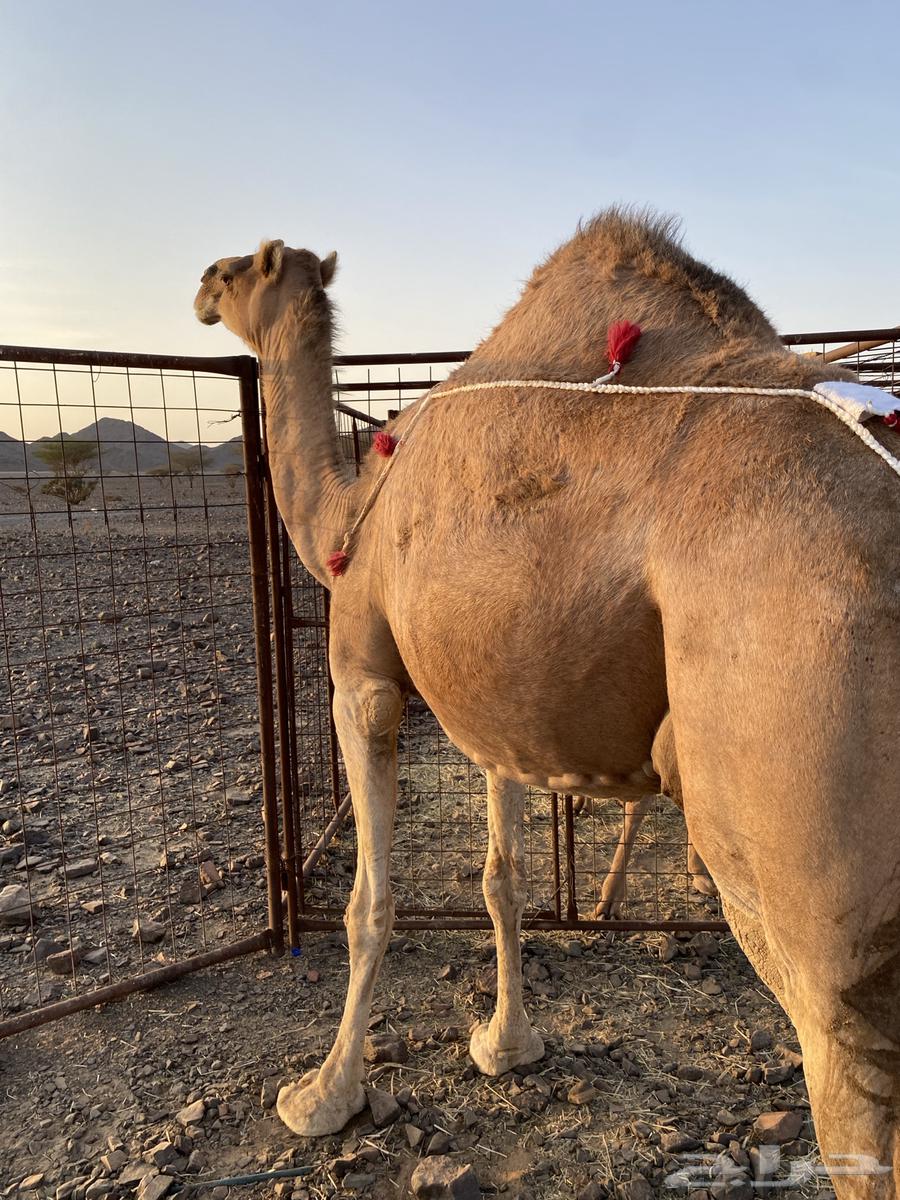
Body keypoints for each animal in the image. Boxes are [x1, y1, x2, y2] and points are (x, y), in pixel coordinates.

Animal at [195, 212, 900, 1198]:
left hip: (807, 839)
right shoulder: (499, 711)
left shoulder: (361, 671)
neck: (348, 513)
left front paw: (323, 1097)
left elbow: (369, 903)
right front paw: (507, 1045)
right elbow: (504, 882)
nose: (198, 288)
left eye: (235, 270)